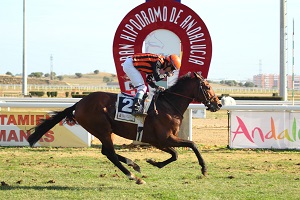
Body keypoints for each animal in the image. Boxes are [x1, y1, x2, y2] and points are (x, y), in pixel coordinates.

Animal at [27, 72, 221, 184]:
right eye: (207, 86)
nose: (218, 104)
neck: (168, 106)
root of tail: (79, 103)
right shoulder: (163, 138)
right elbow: (191, 145)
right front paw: (204, 169)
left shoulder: (159, 141)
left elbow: (175, 154)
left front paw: (153, 162)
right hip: (102, 129)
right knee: (110, 153)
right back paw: (133, 176)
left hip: (106, 131)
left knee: (107, 151)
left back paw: (134, 165)